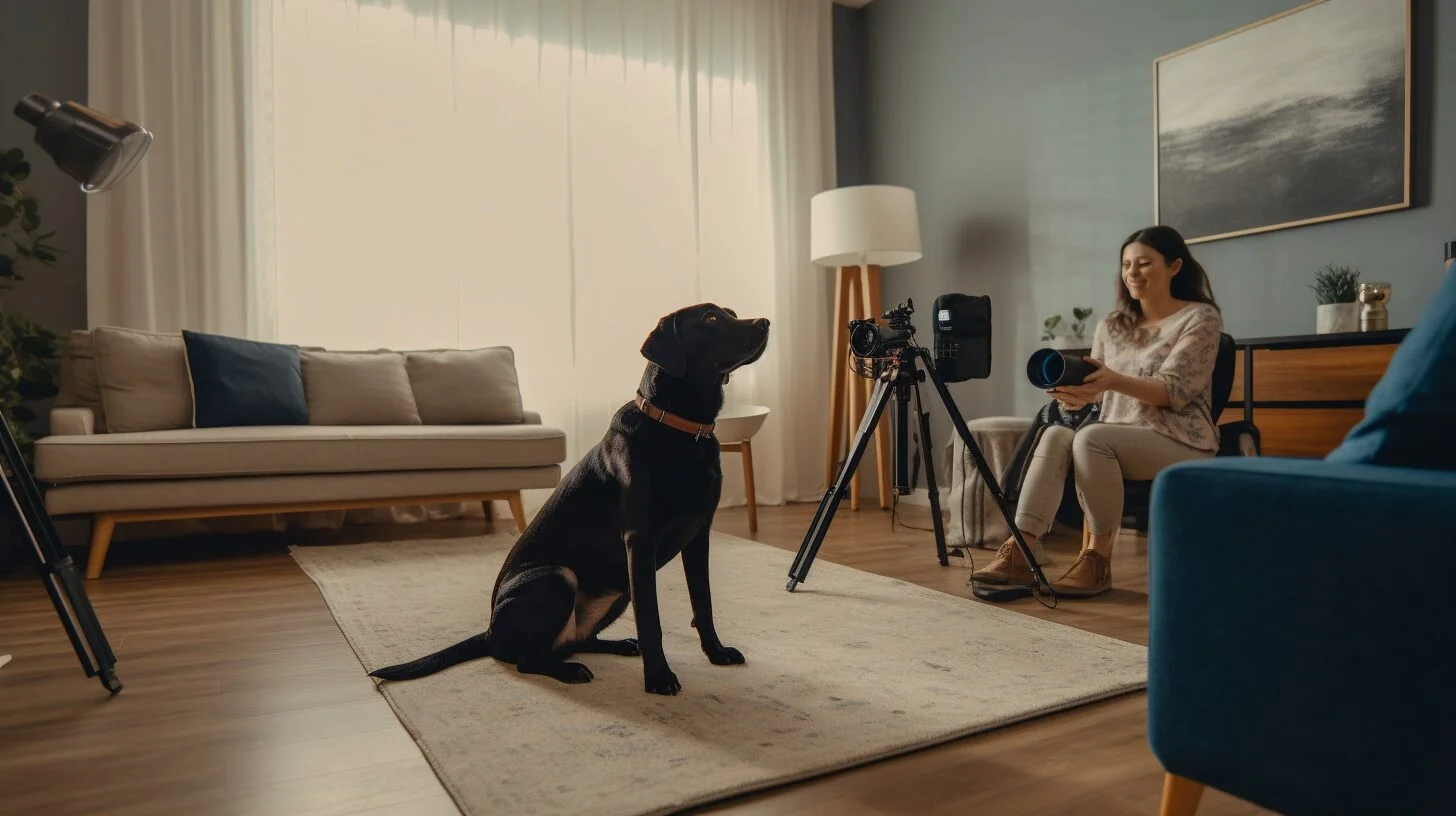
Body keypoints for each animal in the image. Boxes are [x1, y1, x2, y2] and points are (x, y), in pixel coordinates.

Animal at [369, 304, 768, 693]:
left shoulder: (699, 535)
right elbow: (651, 620)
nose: (765, 322)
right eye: (710, 318)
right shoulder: (639, 541)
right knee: (528, 659)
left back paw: (619, 646)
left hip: (617, 587)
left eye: (731, 313)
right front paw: (658, 679)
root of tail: (489, 633)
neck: (681, 429)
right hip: (559, 577)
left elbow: (704, 603)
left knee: (575, 640)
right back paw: (570, 671)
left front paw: (716, 653)